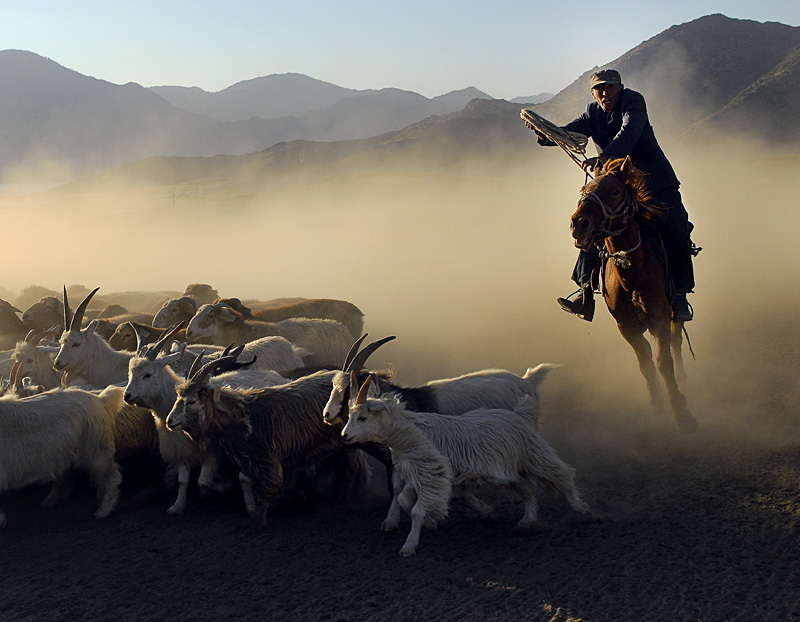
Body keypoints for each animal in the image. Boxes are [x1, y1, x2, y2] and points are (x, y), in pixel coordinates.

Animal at [340, 372, 592, 560]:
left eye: (362, 417)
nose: (344, 436)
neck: (412, 433)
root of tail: (520, 413)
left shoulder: (431, 472)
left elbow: (417, 509)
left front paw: (410, 545)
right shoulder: (416, 472)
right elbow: (403, 499)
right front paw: (430, 520)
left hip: (534, 454)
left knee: (561, 475)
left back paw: (582, 509)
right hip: (512, 469)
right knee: (528, 489)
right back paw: (527, 522)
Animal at [568, 157, 692, 434]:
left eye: (615, 191)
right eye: (584, 189)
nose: (578, 223)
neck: (632, 274)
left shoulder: (659, 320)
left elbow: (663, 361)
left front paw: (681, 410)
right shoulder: (626, 326)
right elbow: (645, 363)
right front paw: (657, 405)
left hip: (674, 313)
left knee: (677, 342)